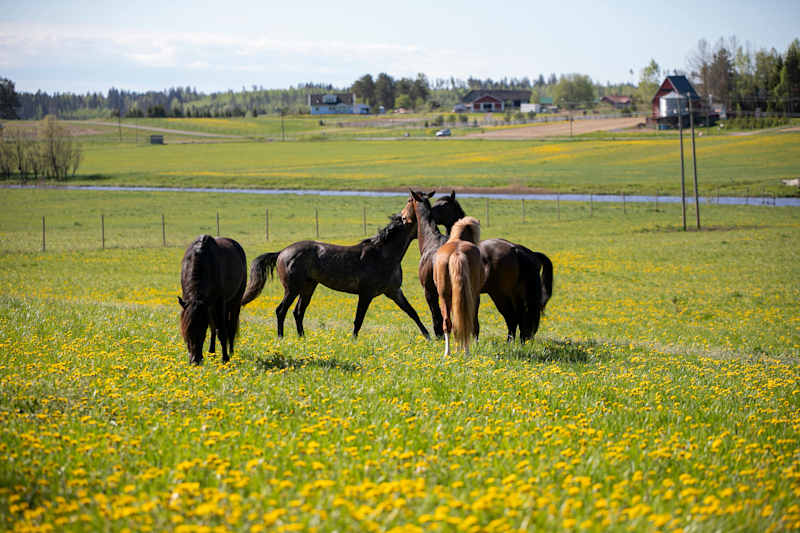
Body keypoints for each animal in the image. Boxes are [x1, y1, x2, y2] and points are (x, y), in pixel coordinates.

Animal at [179, 235, 247, 365]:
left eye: (201, 332)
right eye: (186, 333)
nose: (195, 361)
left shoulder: (219, 303)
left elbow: (221, 331)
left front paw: (225, 358)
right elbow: (213, 328)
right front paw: (212, 354)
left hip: (234, 302)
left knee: (230, 326)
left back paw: (231, 352)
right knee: (214, 327)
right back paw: (212, 353)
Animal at [241, 213, 429, 339]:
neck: (383, 255)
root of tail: (282, 252)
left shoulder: (394, 292)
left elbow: (412, 312)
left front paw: (429, 336)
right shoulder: (366, 294)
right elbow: (358, 319)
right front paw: (353, 340)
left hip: (308, 287)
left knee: (298, 312)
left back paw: (302, 337)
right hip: (292, 289)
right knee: (281, 310)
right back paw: (281, 337)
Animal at [430, 191, 553, 342]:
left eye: (443, 205)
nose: (429, 215)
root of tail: (517, 249)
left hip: (501, 294)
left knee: (513, 317)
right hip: (516, 293)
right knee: (519, 317)